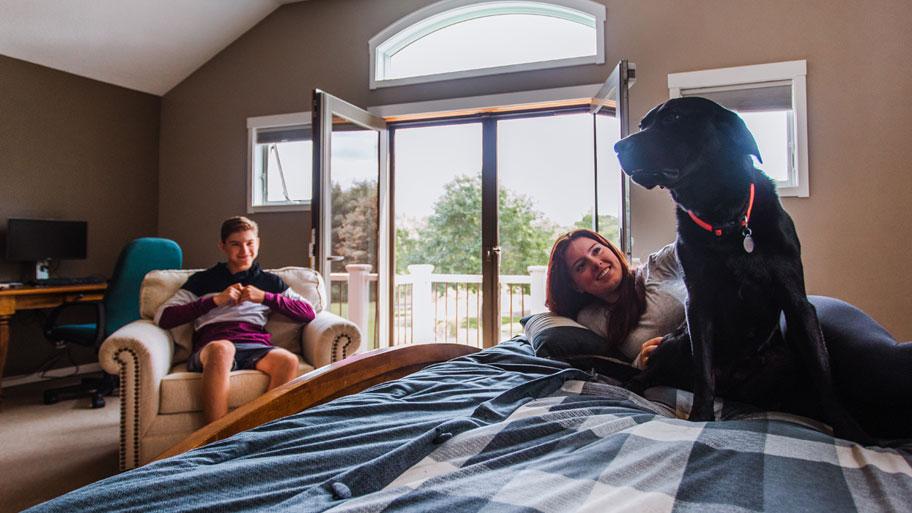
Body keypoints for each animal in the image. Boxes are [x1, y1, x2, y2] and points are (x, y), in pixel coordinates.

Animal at [612, 98, 868, 442]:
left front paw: (849, 427)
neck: (722, 218)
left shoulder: (797, 301)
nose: (617, 146)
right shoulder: (699, 305)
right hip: (677, 342)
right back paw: (633, 384)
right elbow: (703, 371)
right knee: (657, 371)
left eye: (674, 118)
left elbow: (821, 368)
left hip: (781, 361)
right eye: (643, 125)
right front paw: (700, 417)